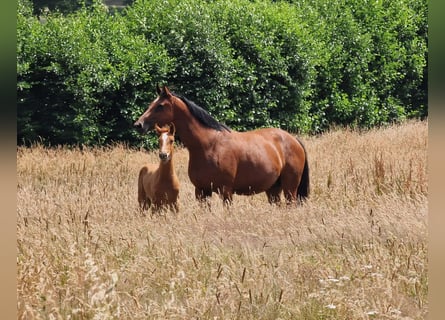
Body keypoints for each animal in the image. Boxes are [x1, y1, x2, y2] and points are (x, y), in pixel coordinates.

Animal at [134, 85, 308, 205]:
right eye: (151, 103)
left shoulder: (226, 192)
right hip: (273, 189)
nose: (138, 125)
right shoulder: (202, 191)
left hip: (290, 188)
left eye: (160, 106)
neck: (208, 145)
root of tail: (293, 140)